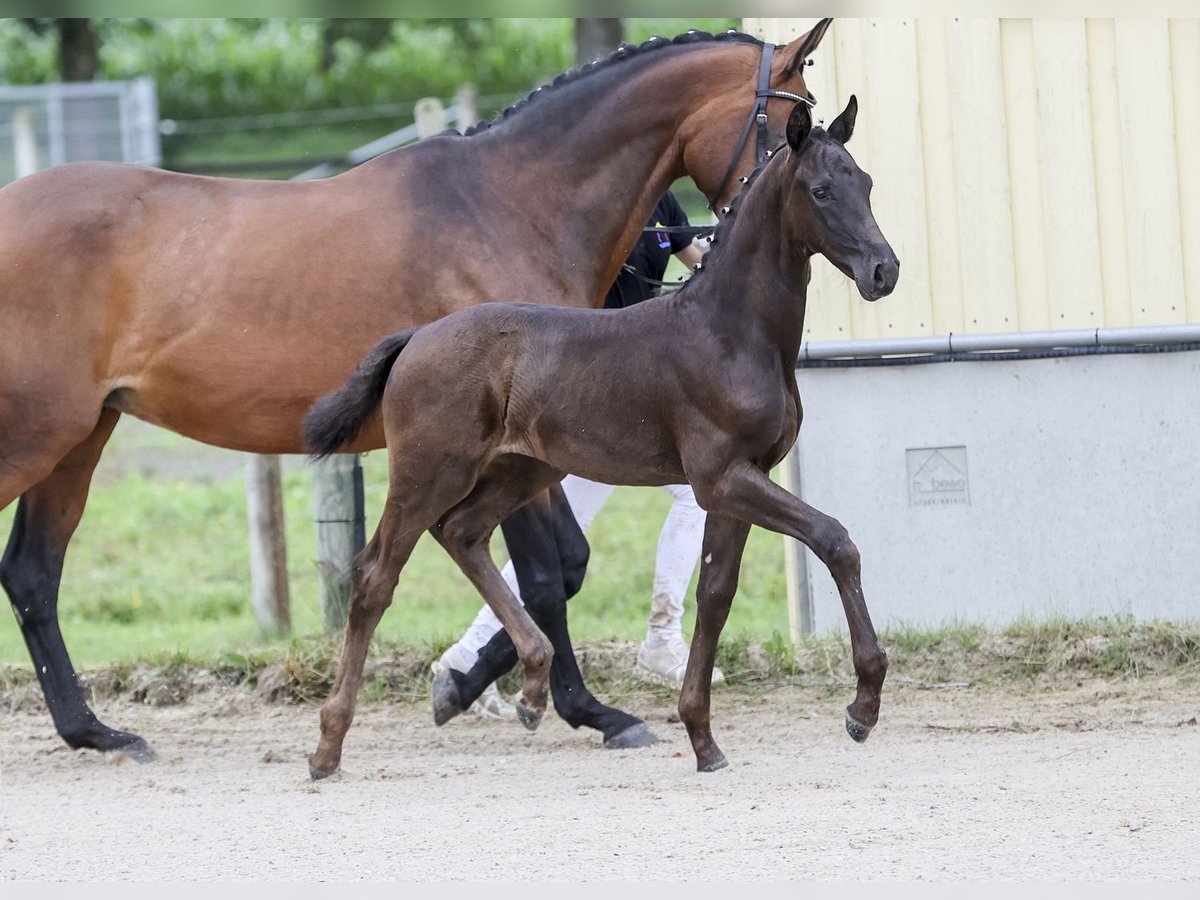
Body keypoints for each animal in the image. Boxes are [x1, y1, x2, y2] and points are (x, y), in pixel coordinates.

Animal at [0, 24, 835, 763]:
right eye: (799, 121)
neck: (509, 203)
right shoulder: (517, 443)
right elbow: (549, 570)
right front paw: (566, 705)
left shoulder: (523, 448)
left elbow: (554, 566)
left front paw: (487, 688)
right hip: (37, 436)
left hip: (80, 439)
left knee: (33, 574)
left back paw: (96, 732)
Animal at [304, 95, 897, 777]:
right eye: (822, 191)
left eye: (867, 183)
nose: (884, 270)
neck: (728, 331)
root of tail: (416, 338)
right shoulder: (722, 478)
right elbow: (836, 541)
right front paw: (862, 706)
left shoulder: (739, 482)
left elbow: (716, 595)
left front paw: (702, 738)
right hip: (430, 472)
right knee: (375, 575)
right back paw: (327, 745)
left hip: (522, 470)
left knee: (463, 533)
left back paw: (534, 687)